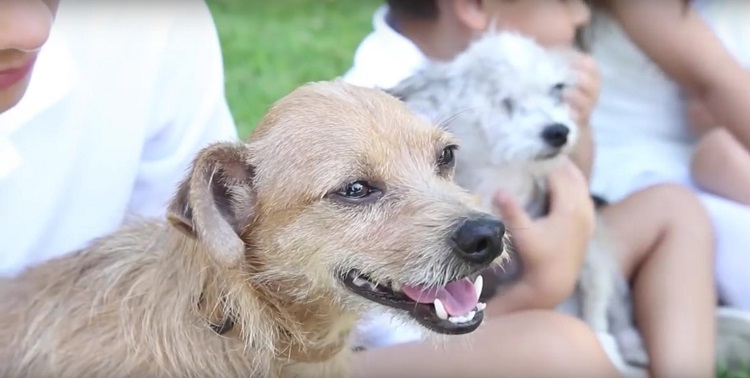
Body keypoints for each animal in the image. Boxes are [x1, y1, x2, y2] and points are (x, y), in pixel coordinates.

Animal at [388, 31, 652, 368]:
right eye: (505, 102)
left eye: (557, 90)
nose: (558, 131)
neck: (503, 179)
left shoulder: (591, 248)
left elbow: (595, 299)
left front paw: (605, 343)